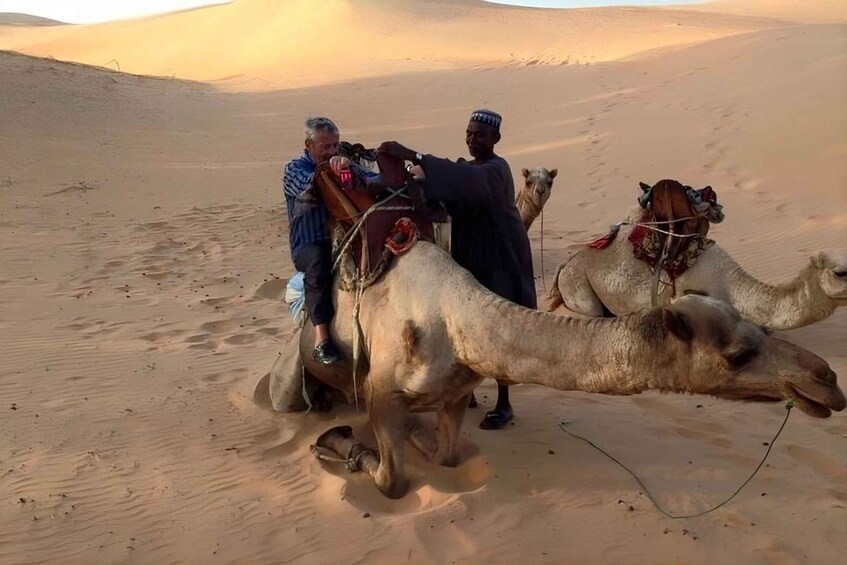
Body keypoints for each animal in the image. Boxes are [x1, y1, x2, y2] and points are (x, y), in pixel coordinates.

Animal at [296, 241, 844, 499]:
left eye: (760, 330)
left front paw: (419, 435)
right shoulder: (381, 390)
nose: (827, 380)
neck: (463, 318)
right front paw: (344, 444)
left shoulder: (455, 387)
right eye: (737, 355)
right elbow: (391, 481)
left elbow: (448, 455)